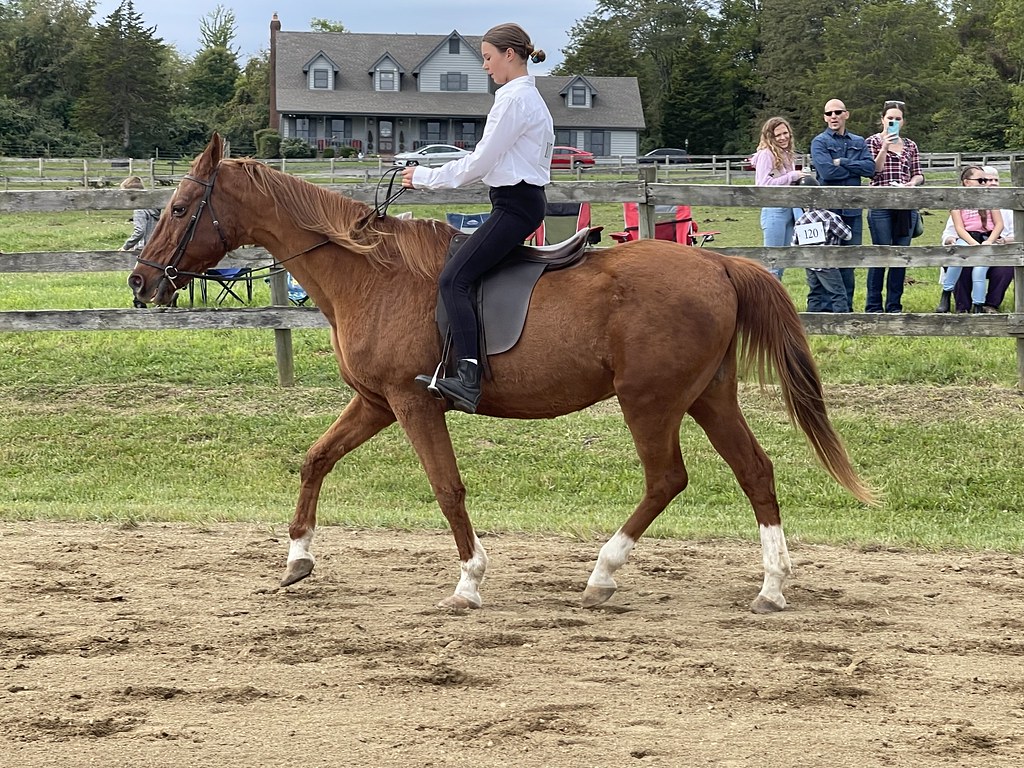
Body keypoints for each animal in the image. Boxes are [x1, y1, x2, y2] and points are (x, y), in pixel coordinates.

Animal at [128, 134, 875, 614]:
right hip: (708, 397)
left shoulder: (413, 404)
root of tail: (719, 264)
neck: (369, 272)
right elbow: (315, 460)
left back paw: (603, 575)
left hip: (651, 400)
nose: (140, 282)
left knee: (667, 479)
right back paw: (772, 586)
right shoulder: (376, 402)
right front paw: (296, 561)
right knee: (755, 471)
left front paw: (469, 582)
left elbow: (447, 489)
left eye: (178, 210)